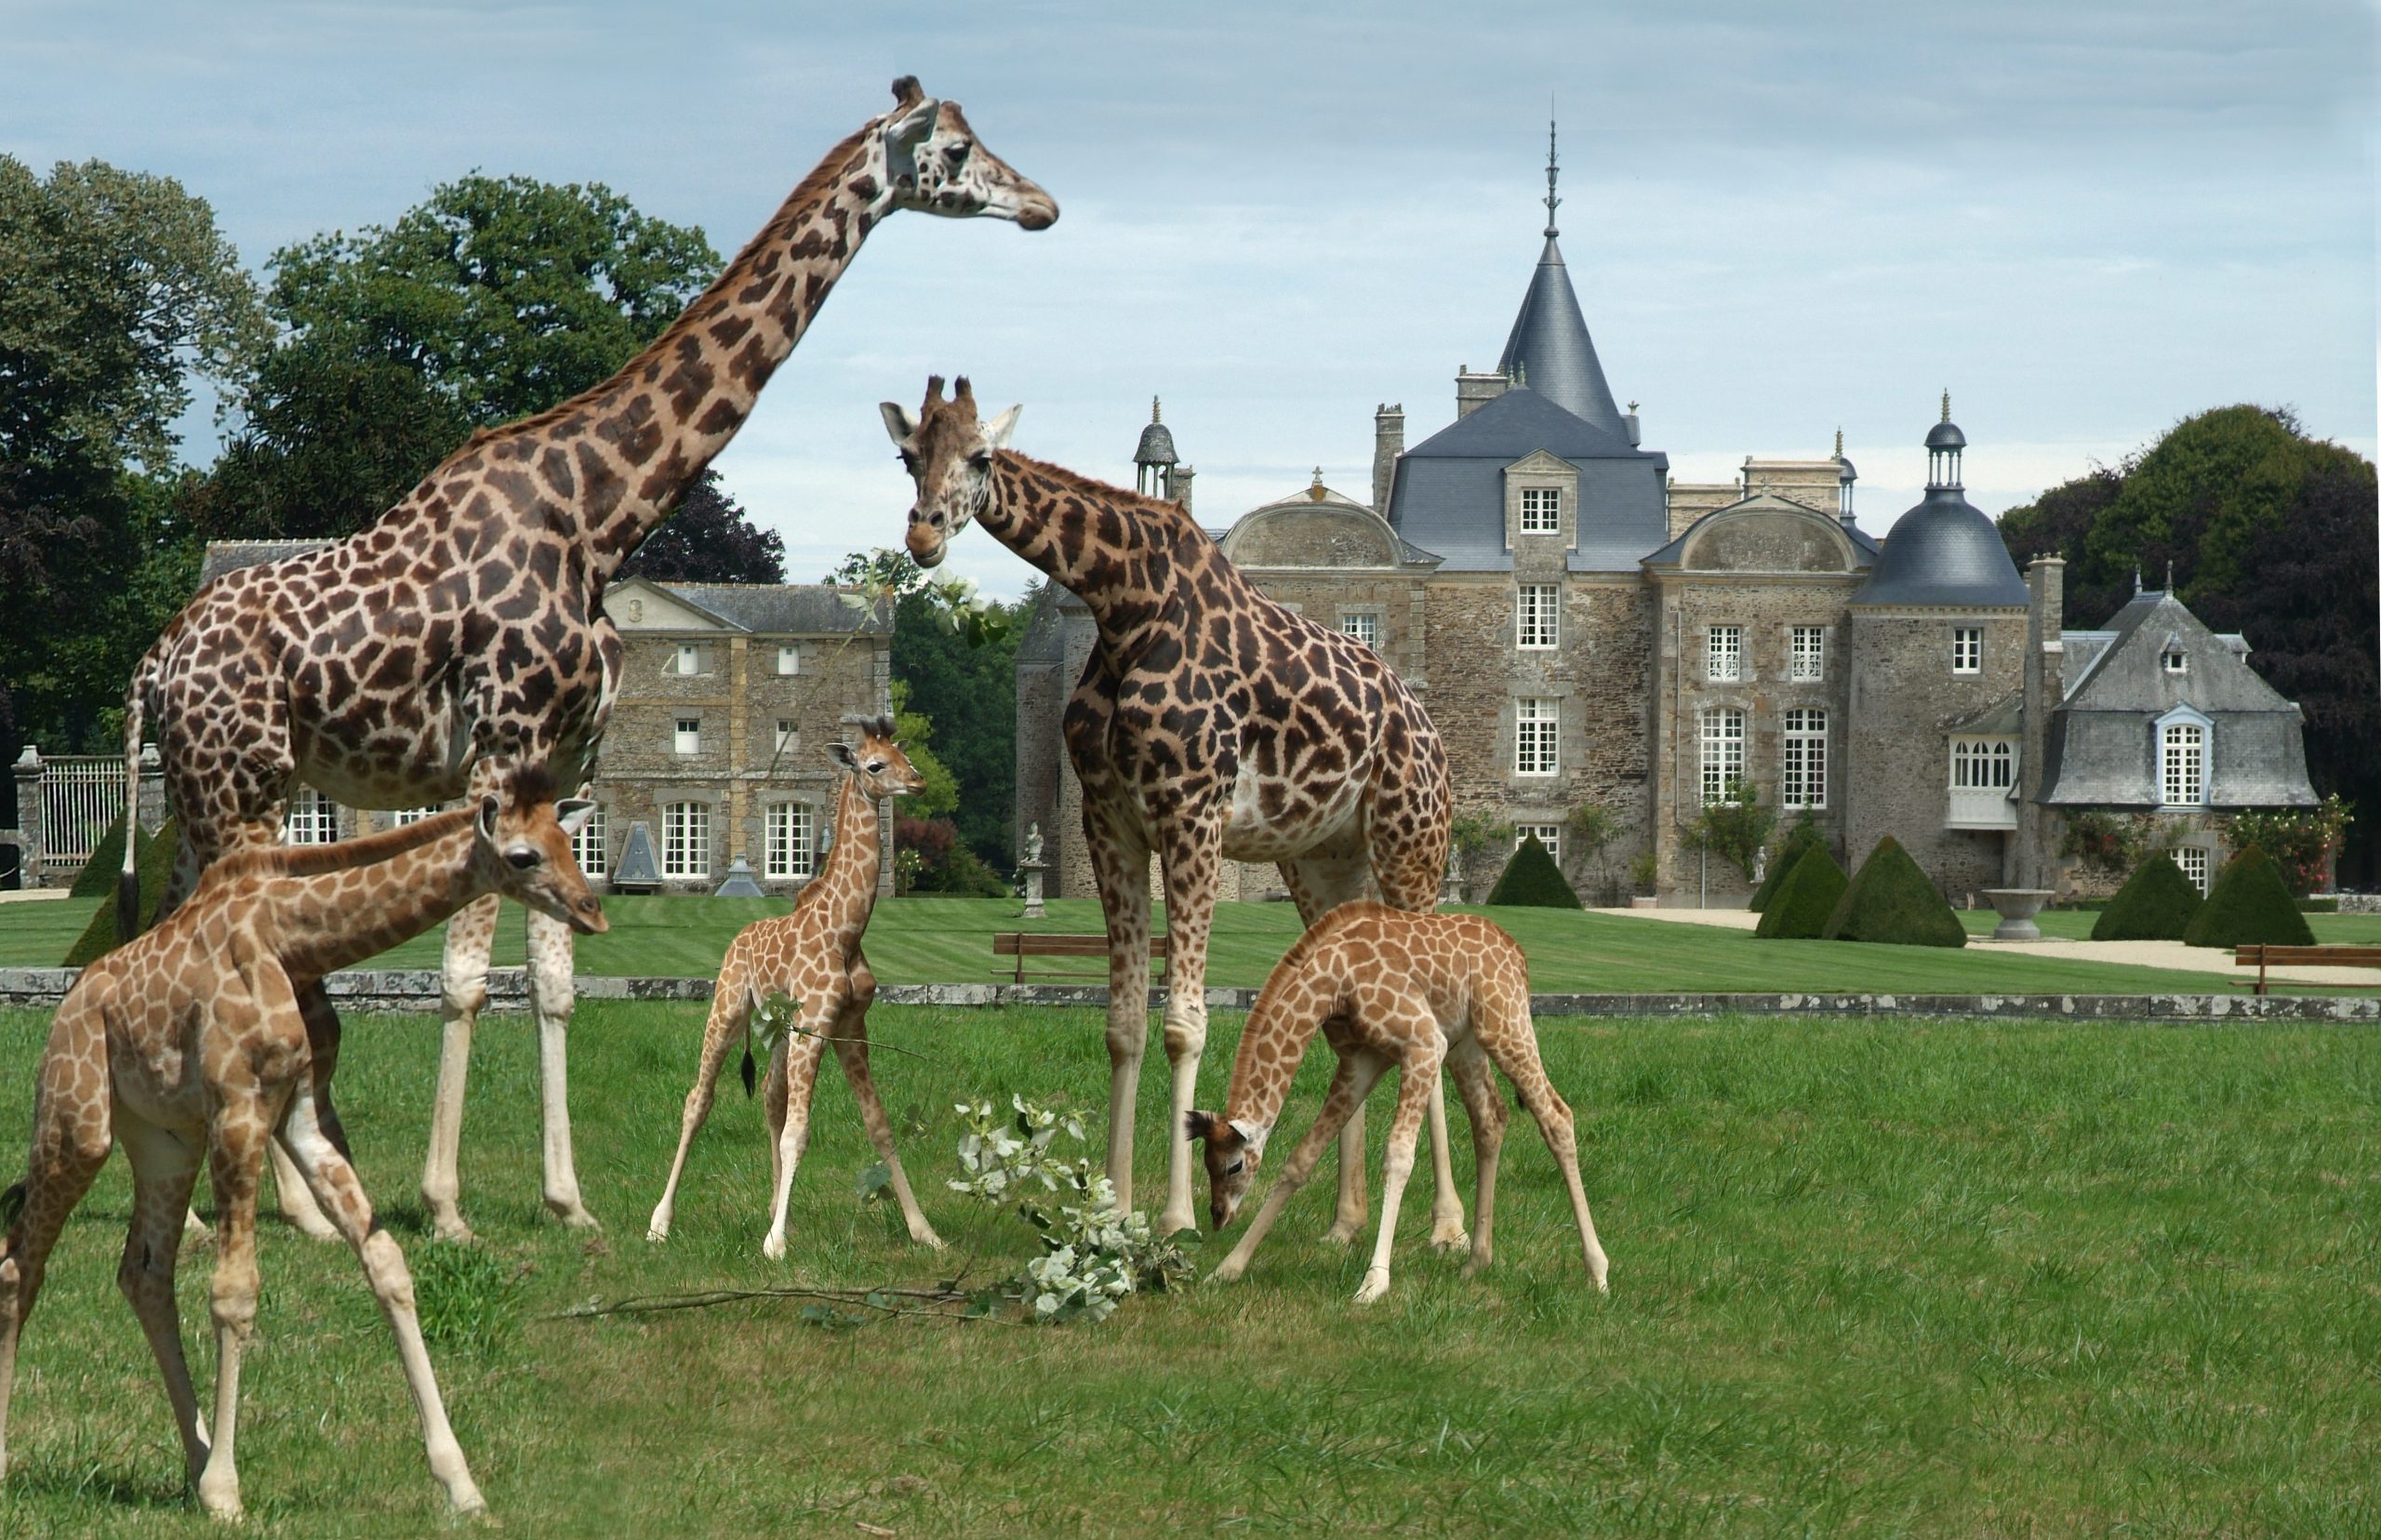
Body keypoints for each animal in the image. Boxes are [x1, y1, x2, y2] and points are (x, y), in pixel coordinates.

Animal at [0, 771, 605, 1513]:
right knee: (21, 1263)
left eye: (571, 844)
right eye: (525, 856)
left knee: (143, 1274)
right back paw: (30, 1459)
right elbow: (234, 1292)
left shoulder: (300, 1115)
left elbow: (387, 1264)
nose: (592, 911)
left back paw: (195, 1455)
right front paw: (227, 1494)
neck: (290, 939)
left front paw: (461, 1485)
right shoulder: (239, 1109)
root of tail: (69, 1001)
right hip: (79, 1119)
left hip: (166, 1140)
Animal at [657, 718, 952, 1256]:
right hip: (728, 1008)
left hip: (779, 1031)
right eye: (874, 765)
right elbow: (799, 1131)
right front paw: (775, 1245)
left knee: (770, 1097)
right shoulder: (815, 1024)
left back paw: (777, 1208)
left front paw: (925, 1231)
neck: (846, 932)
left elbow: (879, 1126)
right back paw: (660, 1222)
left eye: (904, 755)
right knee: (698, 1101)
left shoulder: (849, 1026)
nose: (918, 782)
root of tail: (737, 938)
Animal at [881, 378, 1466, 1247]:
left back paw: (1450, 1228)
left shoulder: (1192, 818)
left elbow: (1184, 1022)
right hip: (1325, 862)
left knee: (1435, 1012)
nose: (922, 534)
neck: (1123, 606)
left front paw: (1179, 1216)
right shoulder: (1111, 822)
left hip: (1412, 846)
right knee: (1357, 1020)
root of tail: (1427, 724)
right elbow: (1123, 1022)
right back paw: (1344, 1224)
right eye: (908, 455)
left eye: (982, 455)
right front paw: (1112, 1208)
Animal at [1190, 904, 1618, 1313]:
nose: (1217, 1215)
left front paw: (1373, 1284)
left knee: (1557, 1117)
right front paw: (1226, 1269)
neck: (1333, 983)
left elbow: (1398, 1156)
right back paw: (1477, 1262)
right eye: (1206, 1162)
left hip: (1504, 1022)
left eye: (1234, 1166)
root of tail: (1517, 952)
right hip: (1468, 1042)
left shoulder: (1423, 1044)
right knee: (1490, 1118)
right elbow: (1302, 1158)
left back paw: (1597, 1273)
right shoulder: (1362, 1062)